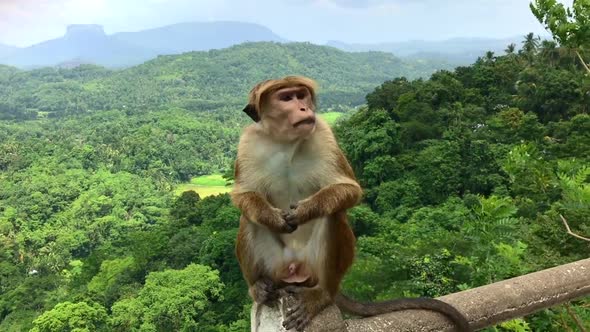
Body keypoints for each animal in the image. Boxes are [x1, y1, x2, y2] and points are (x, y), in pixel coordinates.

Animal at [231, 76, 472, 332]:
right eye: (287, 98)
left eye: (301, 95)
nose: (304, 108)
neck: (286, 142)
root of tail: (296, 269)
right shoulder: (248, 142)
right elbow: (243, 195)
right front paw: (272, 217)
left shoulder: (322, 133)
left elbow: (349, 189)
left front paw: (305, 211)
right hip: (278, 267)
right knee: (248, 219)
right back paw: (258, 288)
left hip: (312, 268)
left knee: (333, 214)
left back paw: (322, 295)